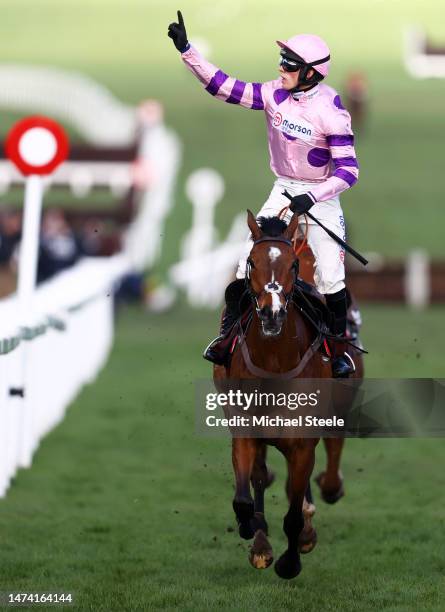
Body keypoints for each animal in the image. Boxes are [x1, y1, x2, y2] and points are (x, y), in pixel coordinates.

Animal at [213, 209, 362, 580]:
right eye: (251, 261)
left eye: (292, 264)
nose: (272, 312)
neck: (275, 362)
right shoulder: (246, 430)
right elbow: (245, 496)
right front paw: (255, 537)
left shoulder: (303, 440)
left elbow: (294, 513)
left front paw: (290, 560)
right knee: (265, 478)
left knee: (330, 460)